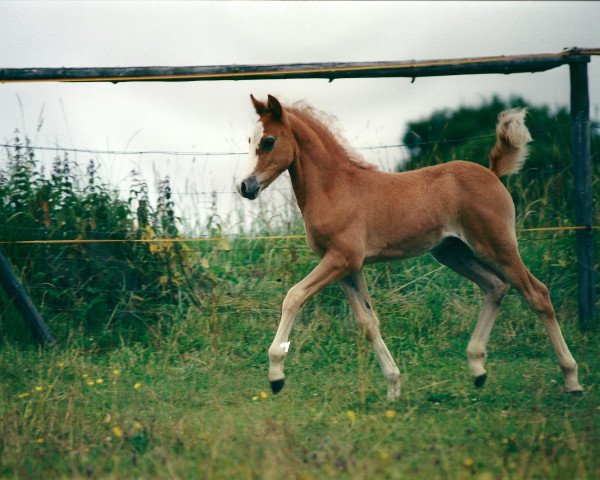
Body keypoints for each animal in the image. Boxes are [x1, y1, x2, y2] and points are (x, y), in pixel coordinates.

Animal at [238, 94, 580, 402]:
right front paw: (393, 385)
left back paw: (571, 379)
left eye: (268, 141)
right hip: (454, 253)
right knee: (496, 286)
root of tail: (492, 172)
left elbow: (293, 296)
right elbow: (368, 322)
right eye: (250, 139)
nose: (246, 186)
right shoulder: (348, 267)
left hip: (497, 246)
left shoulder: (341, 259)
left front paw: (276, 376)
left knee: (537, 294)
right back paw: (478, 368)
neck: (335, 188)